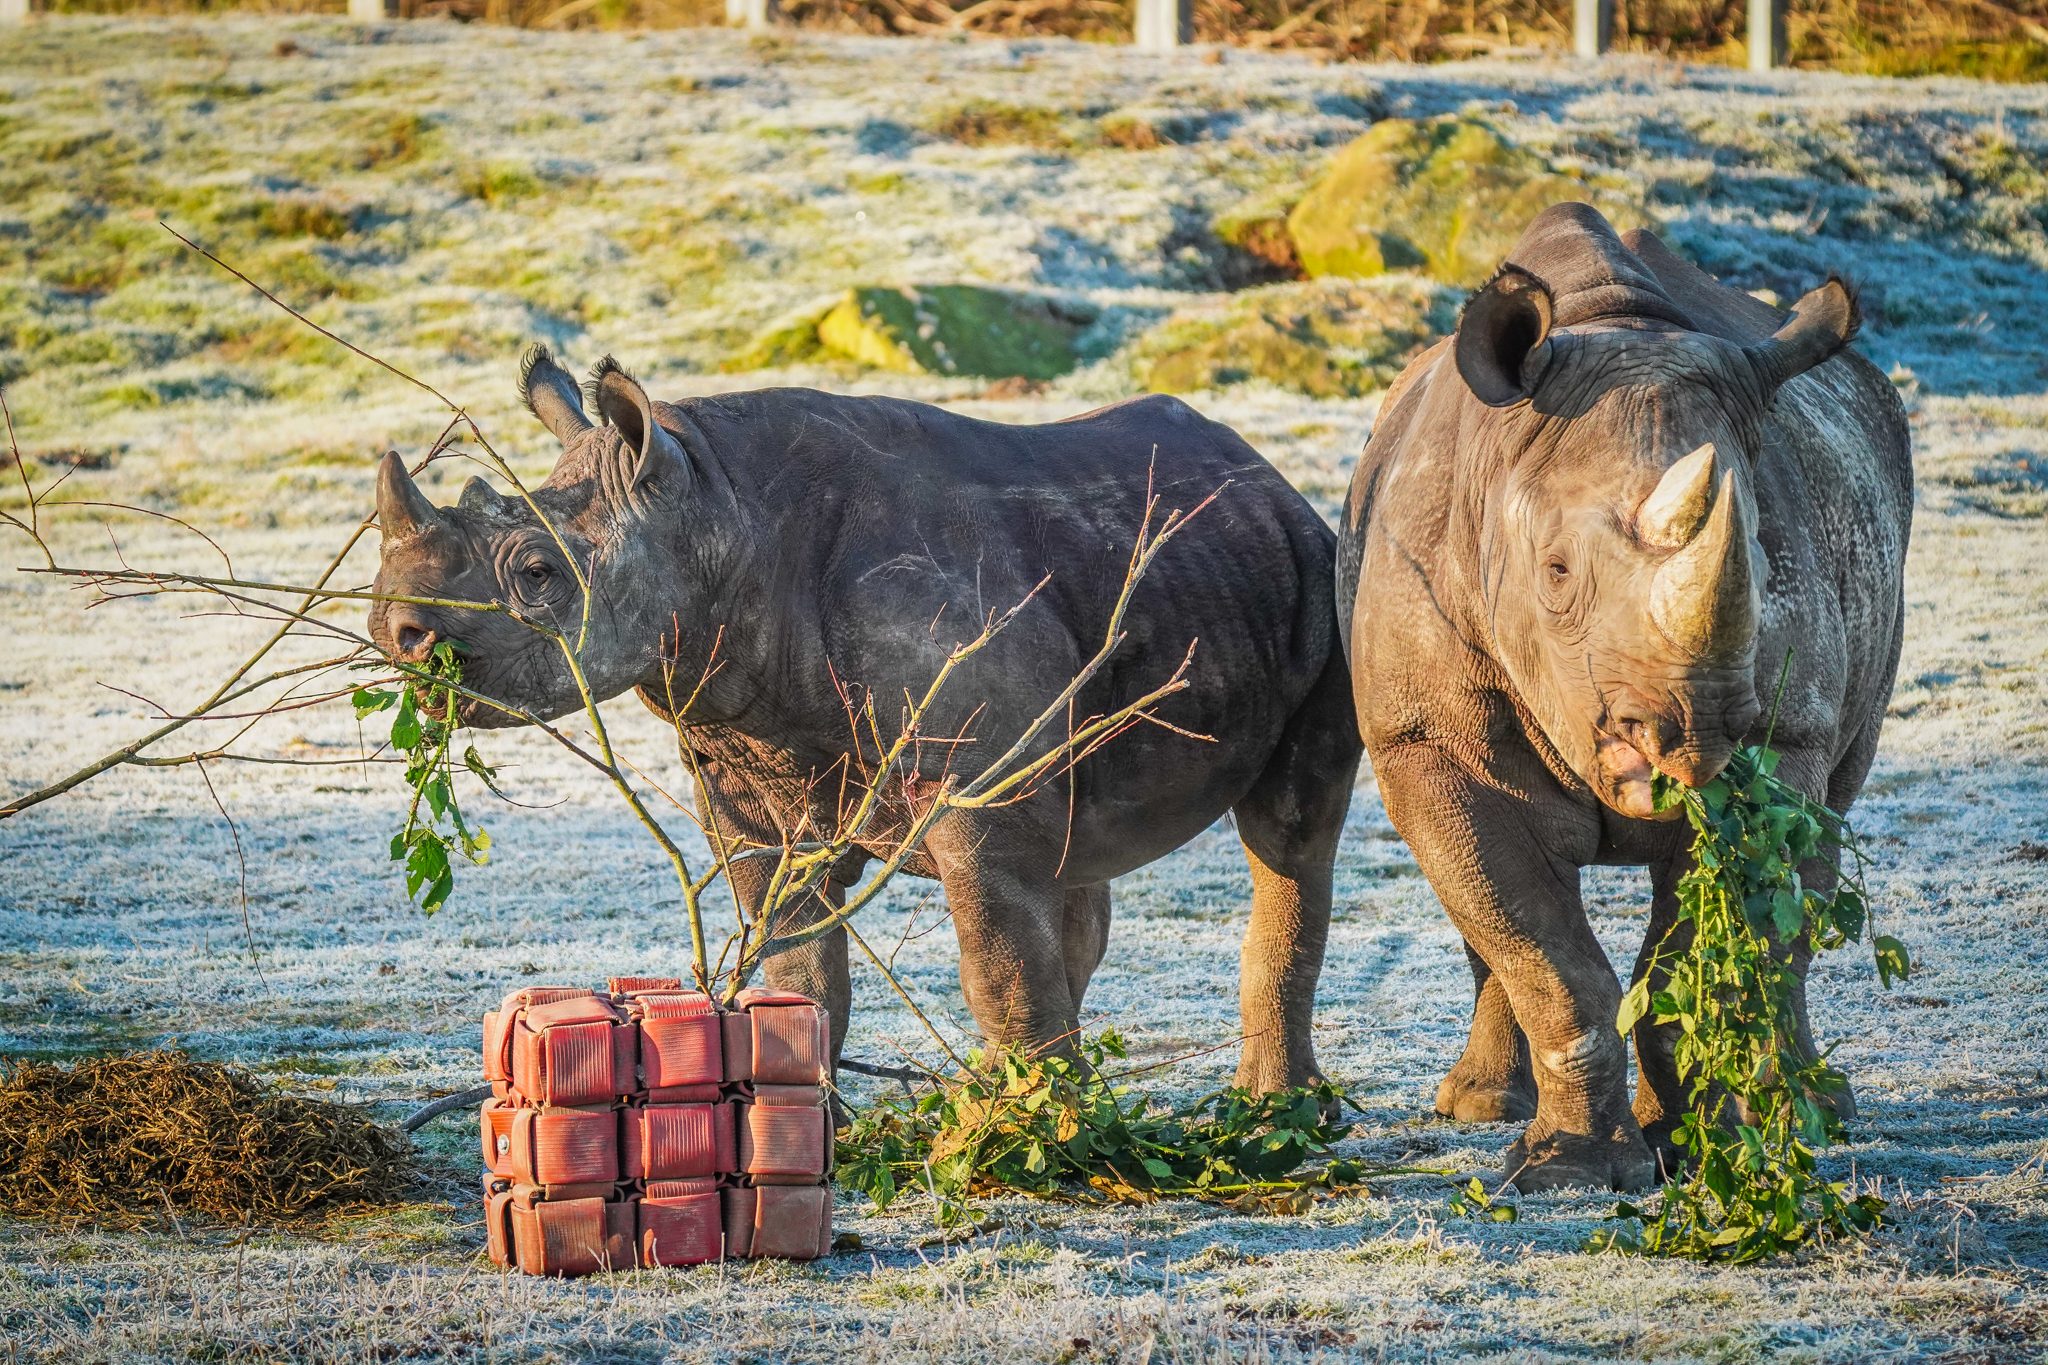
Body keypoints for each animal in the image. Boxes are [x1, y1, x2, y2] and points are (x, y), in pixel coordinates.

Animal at [369, 355, 1361, 1094]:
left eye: (538, 574)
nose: (396, 629)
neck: (714, 511)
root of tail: (1272, 478)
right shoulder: (746, 776)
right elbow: (801, 970)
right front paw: (825, 1129)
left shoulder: (975, 784)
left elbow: (997, 961)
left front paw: (1044, 1139)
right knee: (1076, 857)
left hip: (1327, 574)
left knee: (1289, 835)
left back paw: (1274, 1111)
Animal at [1337, 203, 1911, 1191]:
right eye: (1557, 574)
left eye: (1760, 560)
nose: (1689, 732)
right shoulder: (1422, 736)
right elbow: (1538, 947)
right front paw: (1569, 1171)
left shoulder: (1782, 736)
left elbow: (1695, 953)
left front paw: (1691, 1145)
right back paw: (1480, 1105)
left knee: (1825, 832)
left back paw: (1806, 1109)